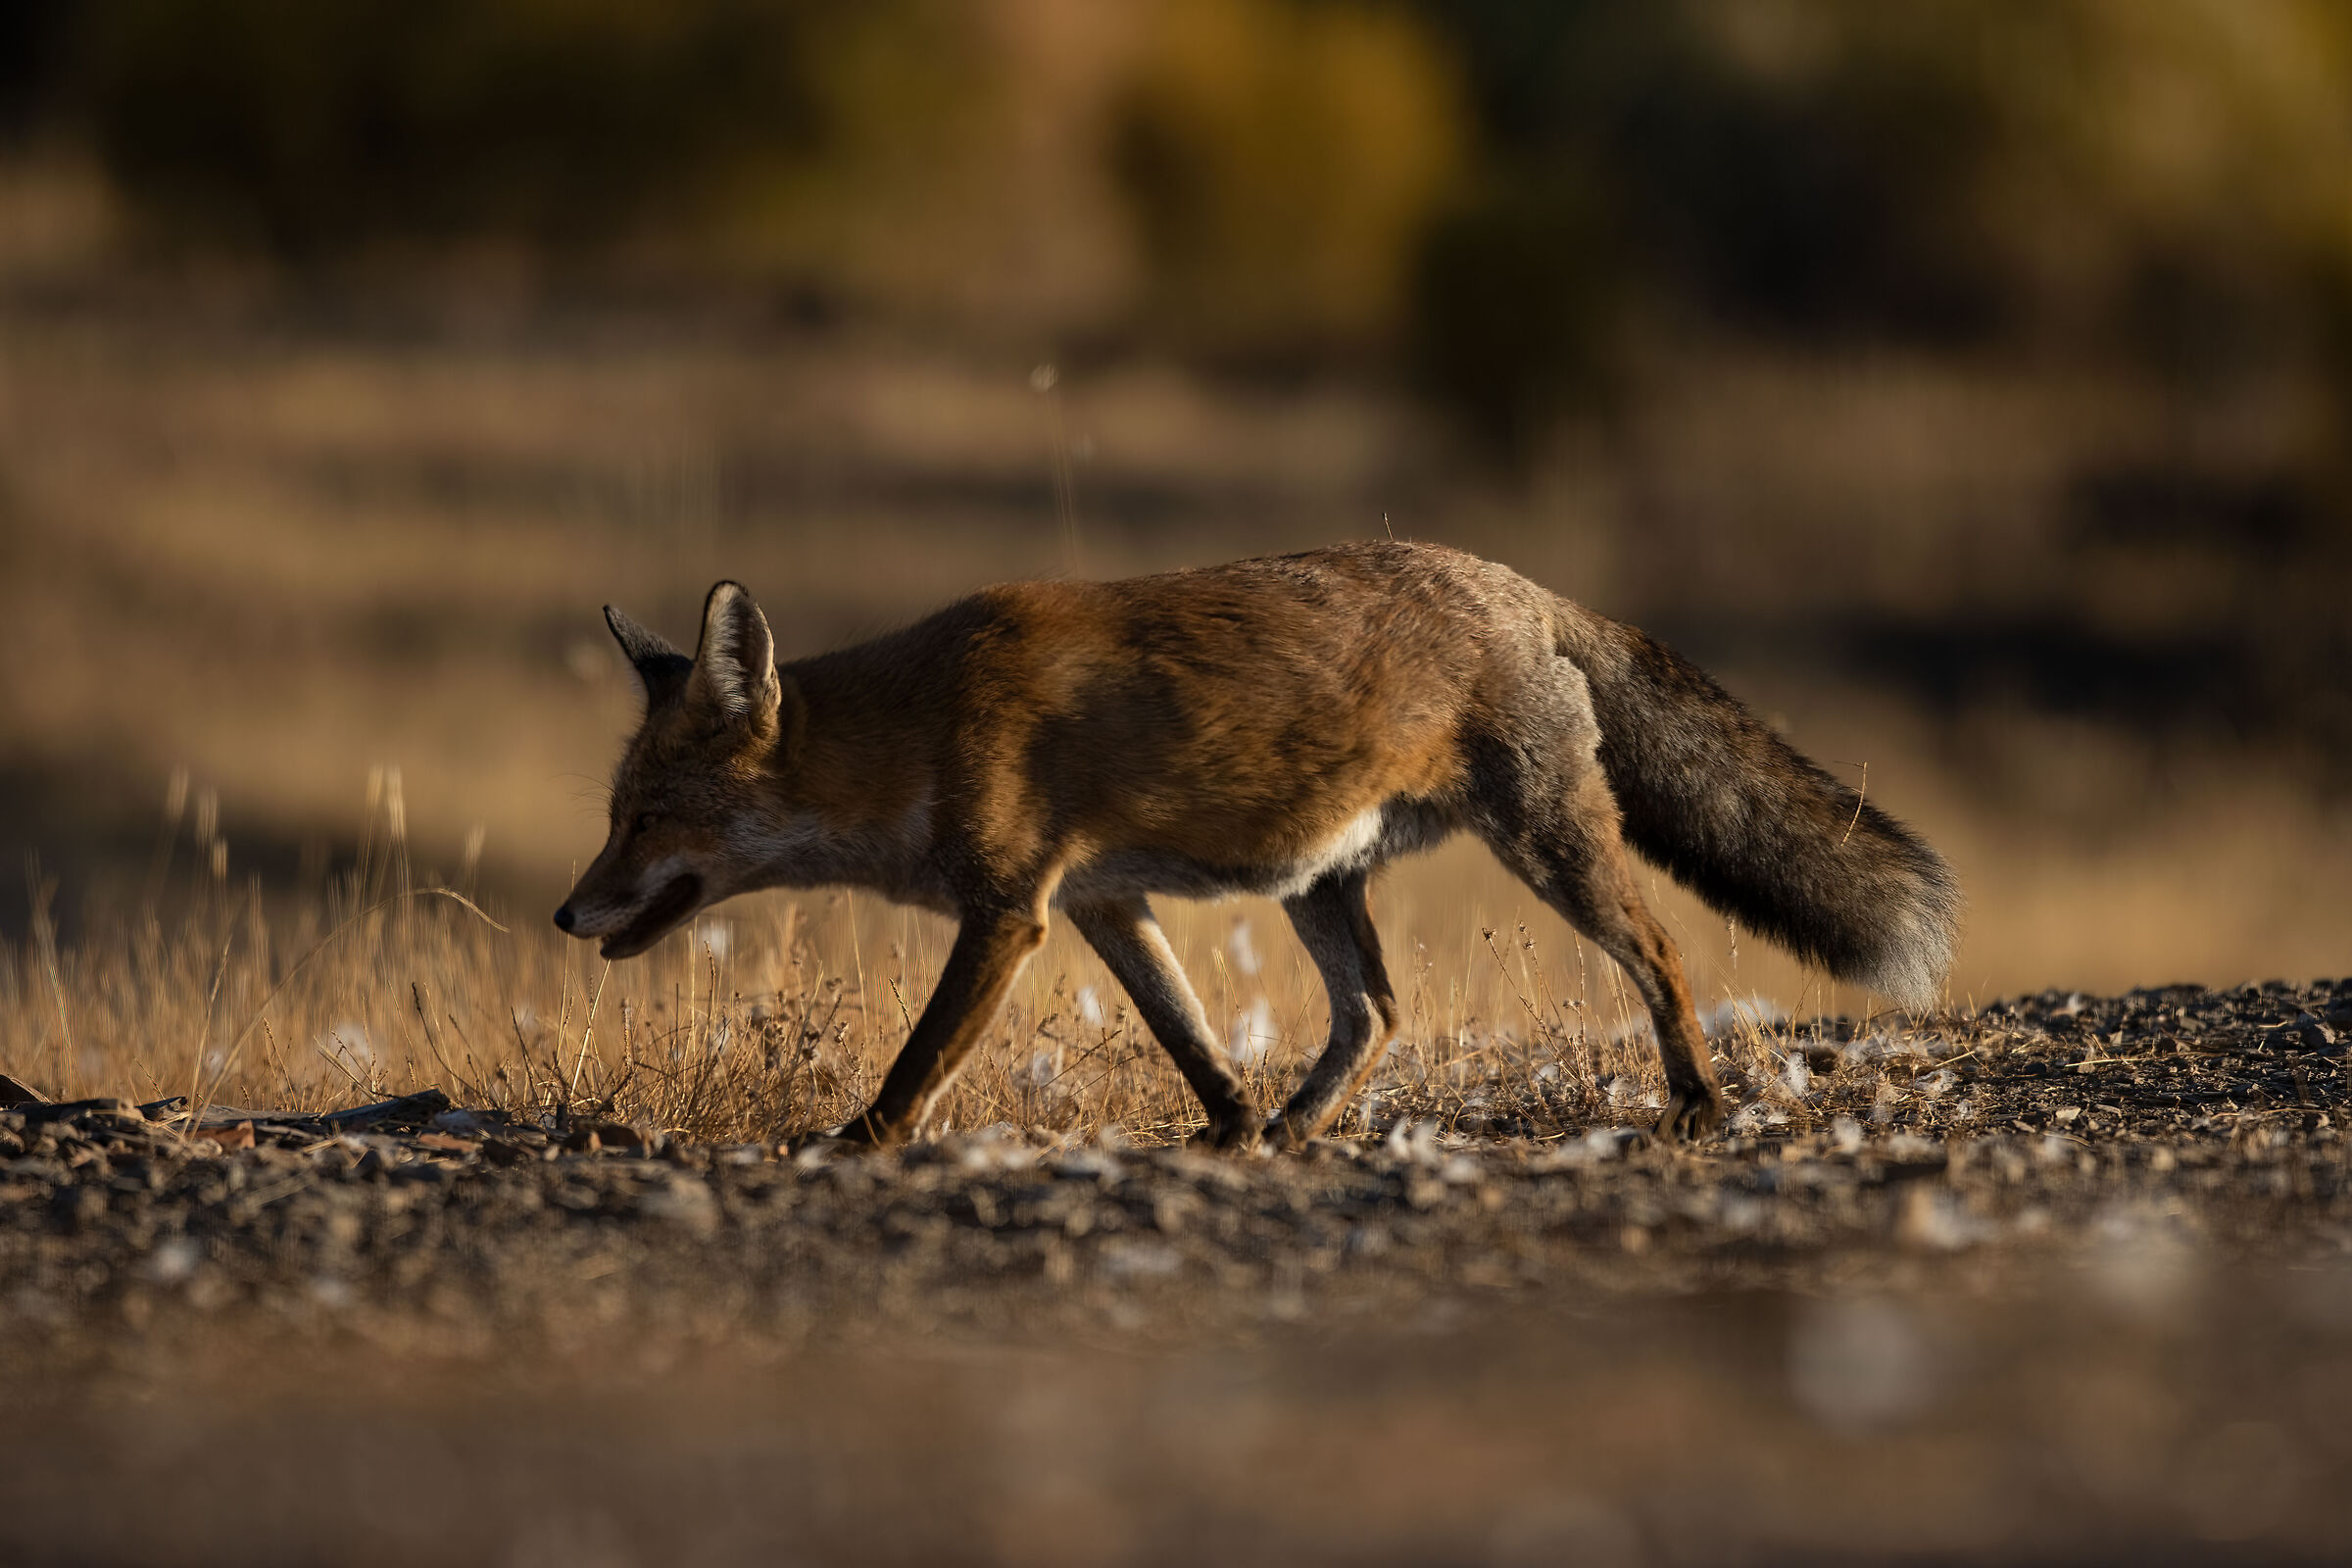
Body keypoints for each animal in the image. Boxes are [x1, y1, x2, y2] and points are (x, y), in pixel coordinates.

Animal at [554, 541, 1959, 1148]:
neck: (919, 731)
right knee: (1378, 1011)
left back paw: (1698, 1104)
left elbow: (920, 1060)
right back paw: (1293, 1126)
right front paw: (1229, 1125)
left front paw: (859, 1142)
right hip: (1319, 884)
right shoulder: (1104, 903)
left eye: (645, 820)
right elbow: (1188, 1035)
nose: (567, 916)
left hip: (1547, 845)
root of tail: (1520, 583)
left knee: (1664, 954)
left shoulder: (1009, 910)